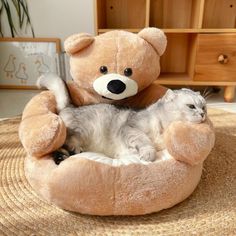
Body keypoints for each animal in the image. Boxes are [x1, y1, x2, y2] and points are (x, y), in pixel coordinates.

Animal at [37, 74, 206, 164]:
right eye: (191, 106)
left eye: (204, 107)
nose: (203, 114)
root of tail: (69, 106)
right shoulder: (131, 128)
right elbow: (145, 142)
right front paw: (148, 154)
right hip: (80, 131)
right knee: (64, 143)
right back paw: (71, 151)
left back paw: (63, 156)